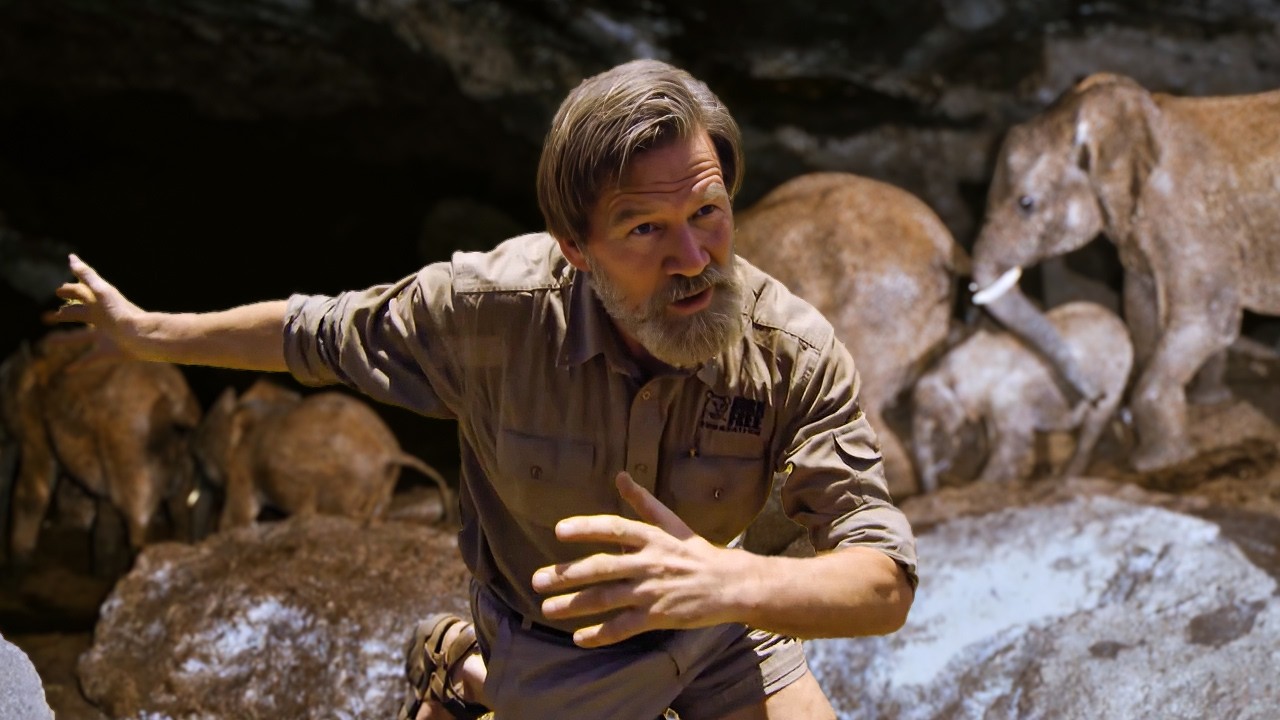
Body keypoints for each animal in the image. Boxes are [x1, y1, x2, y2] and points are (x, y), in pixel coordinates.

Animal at [2, 329, 203, 570]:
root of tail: (178, 409)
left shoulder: (34, 413)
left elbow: (34, 489)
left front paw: (19, 565)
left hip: (134, 448)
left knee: (139, 518)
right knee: (179, 509)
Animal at [911, 301, 1133, 492]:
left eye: (930, 414)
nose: (938, 486)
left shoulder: (1010, 396)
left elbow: (1015, 441)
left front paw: (982, 485)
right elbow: (997, 438)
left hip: (1114, 374)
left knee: (1093, 425)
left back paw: (1066, 478)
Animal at [969, 73, 1280, 472]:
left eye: (1026, 204)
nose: (1098, 398)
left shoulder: (1189, 219)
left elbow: (1207, 321)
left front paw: (1155, 463)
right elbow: (1140, 310)